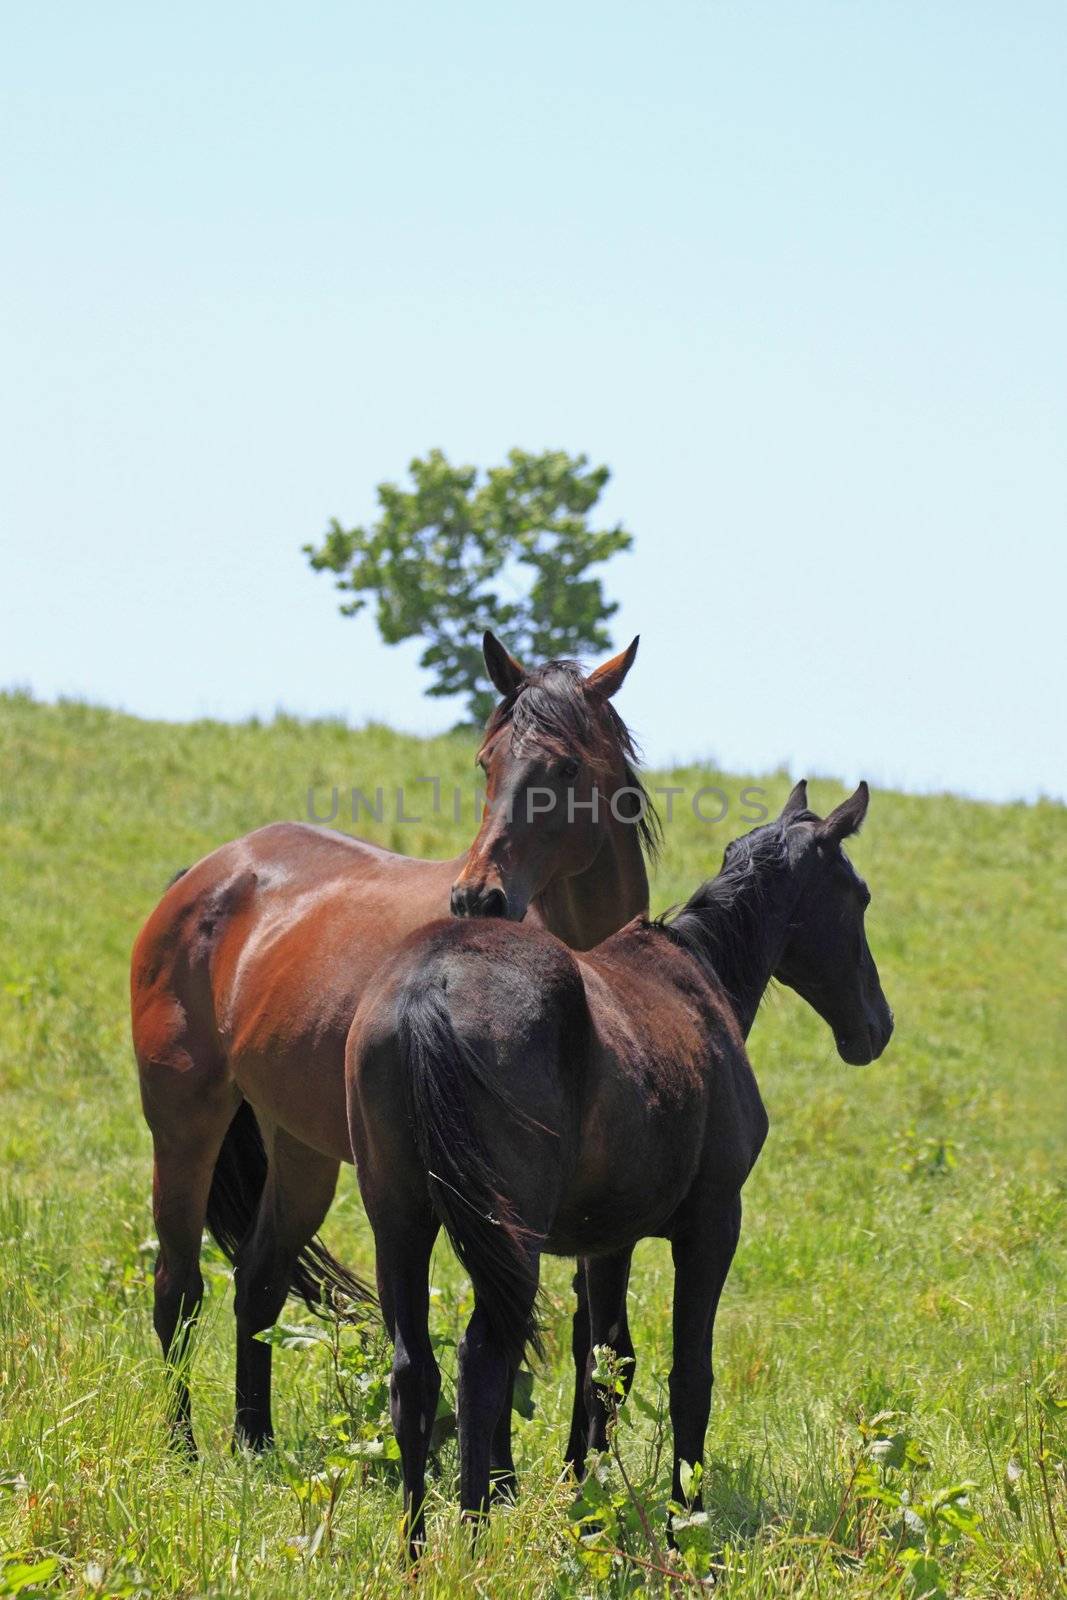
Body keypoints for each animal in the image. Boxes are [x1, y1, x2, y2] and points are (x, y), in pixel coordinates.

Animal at [129, 630, 655, 1459]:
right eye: (486, 761)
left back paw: (255, 1441)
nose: (477, 896)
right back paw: (183, 1447)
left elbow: (597, 1341)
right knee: (178, 1286)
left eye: (567, 767)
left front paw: (584, 1469)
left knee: (258, 1279)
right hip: (184, 1125)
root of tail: (209, 874)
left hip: (300, 1149)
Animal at [348, 777, 895, 1548]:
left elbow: (604, 1366)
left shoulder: (605, 1243)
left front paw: (588, 1501)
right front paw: (682, 1522)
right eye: (860, 896)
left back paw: (416, 1547)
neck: (701, 979)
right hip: (506, 1241)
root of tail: (430, 986)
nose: (875, 1026)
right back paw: (474, 1535)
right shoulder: (712, 1225)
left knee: (413, 1374)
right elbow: (687, 1377)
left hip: (398, 1221)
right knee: (481, 1360)